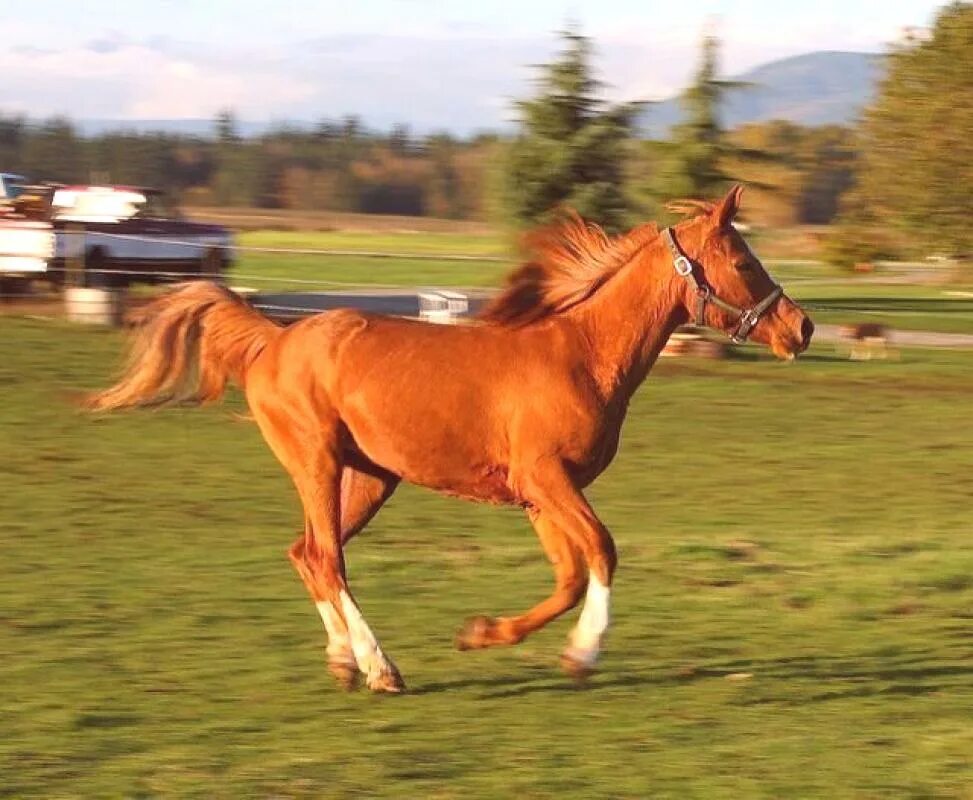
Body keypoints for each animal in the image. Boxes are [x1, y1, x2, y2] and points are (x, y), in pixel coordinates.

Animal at [89, 188, 812, 692]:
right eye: (742, 259)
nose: (800, 328)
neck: (580, 355)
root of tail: (274, 339)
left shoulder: (539, 494)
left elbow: (569, 577)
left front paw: (482, 633)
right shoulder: (547, 477)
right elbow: (603, 552)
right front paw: (583, 655)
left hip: (370, 477)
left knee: (305, 554)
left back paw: (344, 662)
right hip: (317, 463)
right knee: (325, 557)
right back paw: (380, 669)